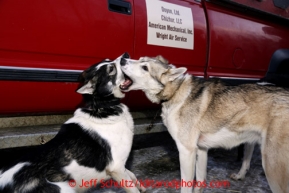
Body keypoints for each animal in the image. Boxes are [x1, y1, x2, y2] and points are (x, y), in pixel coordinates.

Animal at [0, 54, 144, 193]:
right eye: (111, 69)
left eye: (109, 59)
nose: (125, 56)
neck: (101, 106)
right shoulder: (117, 168)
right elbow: (132, 187)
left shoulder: (121, 168)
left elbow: (132, 175)